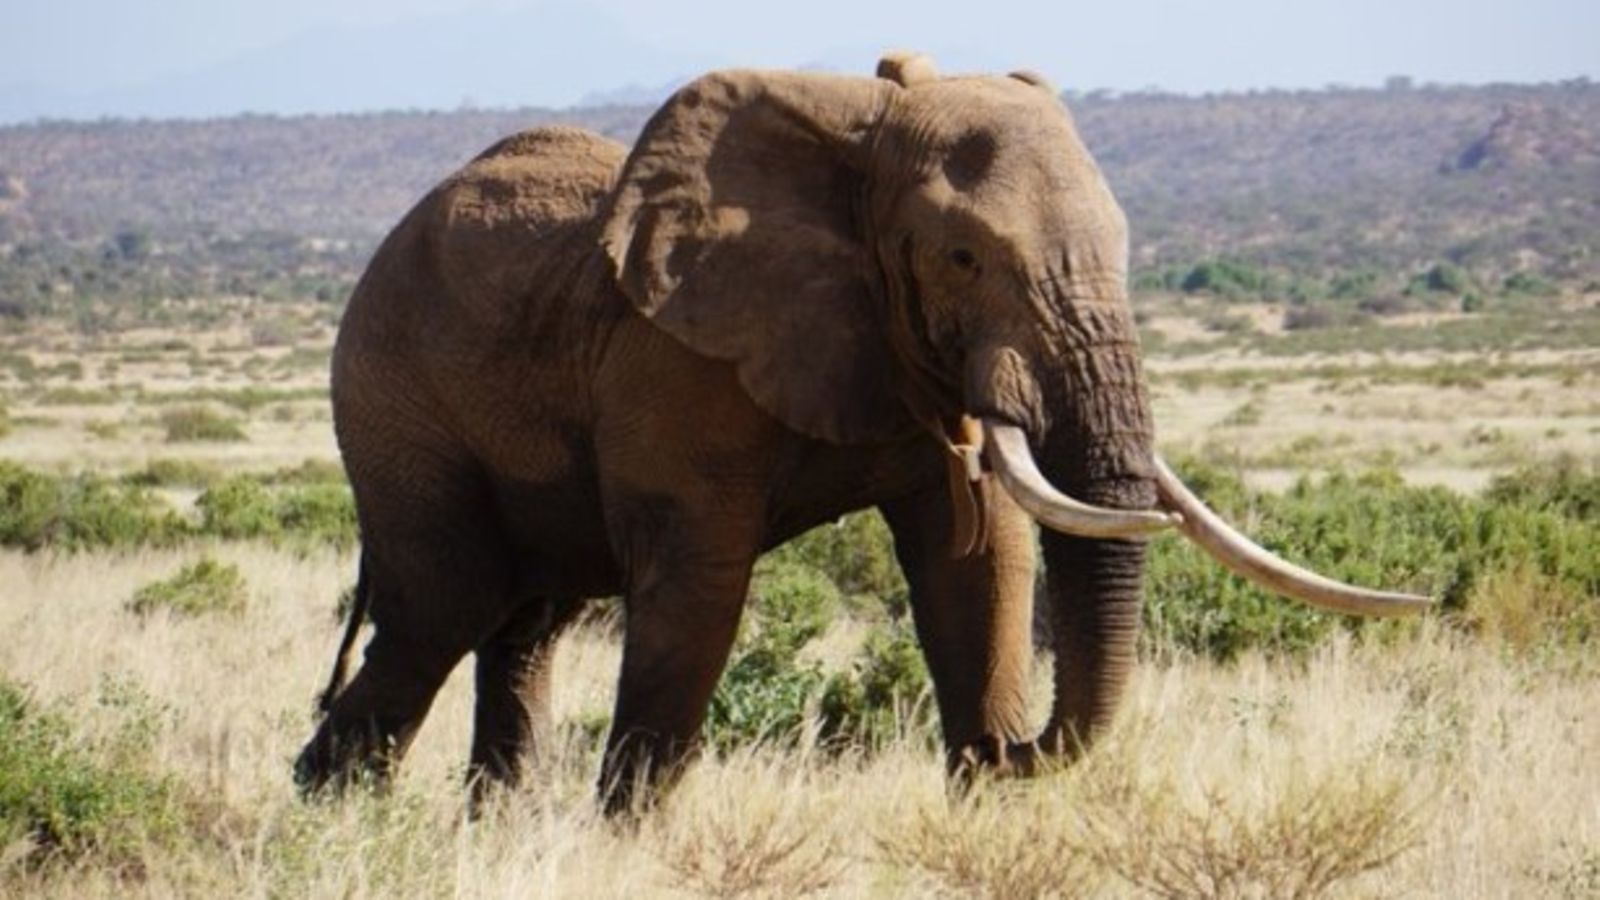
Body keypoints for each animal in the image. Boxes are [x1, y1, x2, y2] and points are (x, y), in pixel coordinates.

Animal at [291, 52, 1427, 810]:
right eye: (964, 258)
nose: (1014, 749)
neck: (860, 130)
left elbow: (981, 565)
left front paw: (983, 810)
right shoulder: (678, 360)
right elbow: (700, 589)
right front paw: (627, 842)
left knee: (523, 623)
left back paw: (491, 827)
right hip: (392, 398)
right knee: (445, 605)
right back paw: (332, 818)